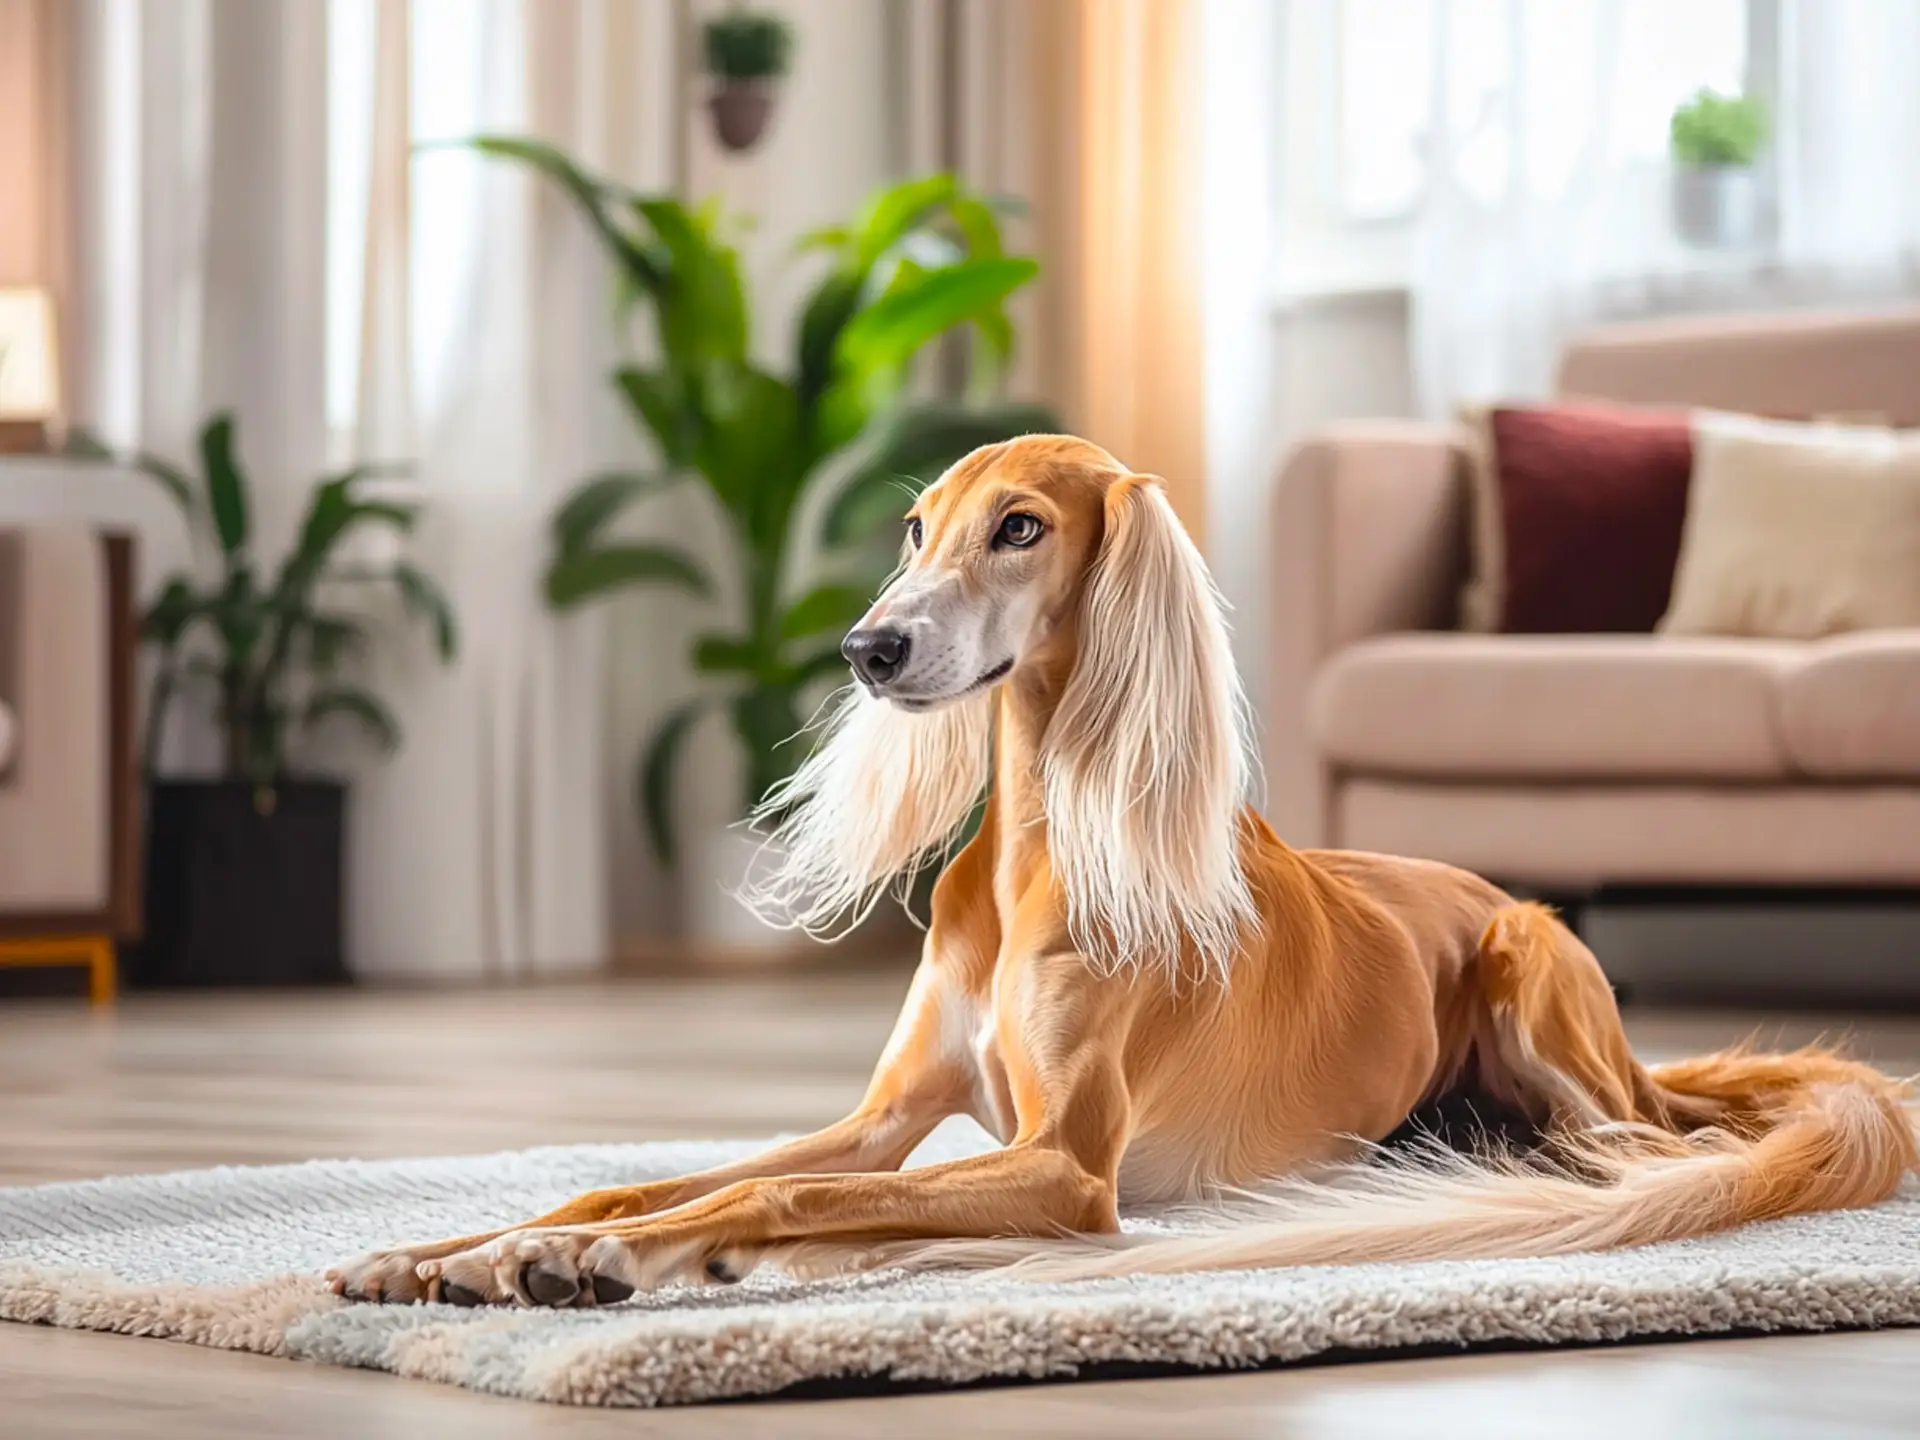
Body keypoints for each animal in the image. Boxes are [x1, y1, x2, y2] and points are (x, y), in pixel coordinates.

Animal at [326, 433, 1904, 1313]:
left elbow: (768, 1201)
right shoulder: (884, 1127)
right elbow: (651, 1185)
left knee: (1662, 1151)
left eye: (1022, 525)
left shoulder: (1069, 1170)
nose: (870, 648)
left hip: (1537, 970)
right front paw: (462, 1253)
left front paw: (633, 1260)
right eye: (917, 528)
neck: (1032, 854)